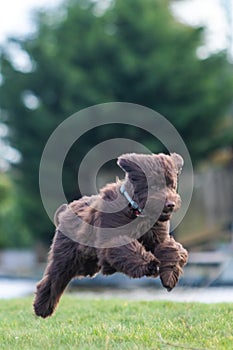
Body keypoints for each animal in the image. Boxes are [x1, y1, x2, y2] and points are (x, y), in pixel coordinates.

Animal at [33, 153, 188, 318]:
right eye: (154, 186)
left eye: (172, 185)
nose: (171, 204)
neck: (136, 210)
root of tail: (64, 211)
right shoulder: (111, 238)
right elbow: (128, 248)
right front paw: (150, 264)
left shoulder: (159, 238)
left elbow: (173, 250)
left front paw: (169, 276)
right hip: (66, 258)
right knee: (53, 279)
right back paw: (42, 309)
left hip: (85, 263)